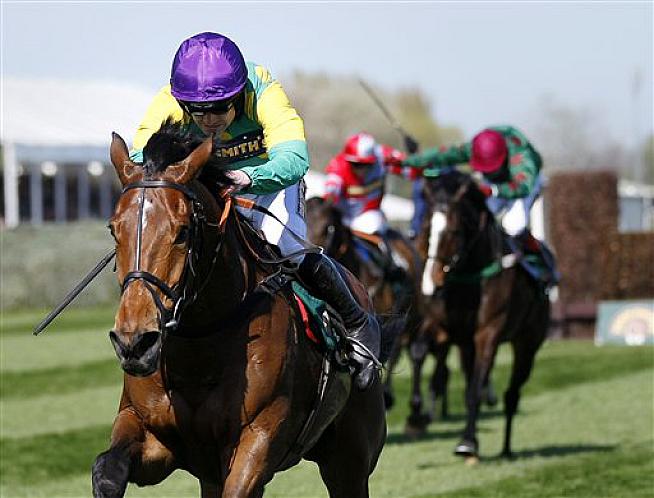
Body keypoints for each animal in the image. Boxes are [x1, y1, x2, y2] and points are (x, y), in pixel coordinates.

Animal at [92, 124, 389, 497]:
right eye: (113, 228)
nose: (134, 342)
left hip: (350, 460)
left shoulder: (257, 440)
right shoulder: (152, 435)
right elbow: (107, 471)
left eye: (182, 231)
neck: (198, 352)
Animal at [414, 168, 550, 459]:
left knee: (512, 393)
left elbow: (475, 389)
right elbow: (419, 351)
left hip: (527, 344)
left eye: (453, 231)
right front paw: (416, 416)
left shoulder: (488, 333)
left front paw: (467, 442)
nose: (430, 283)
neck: (469, 278)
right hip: (466, 346)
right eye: (426, 228)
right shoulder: (443, 327)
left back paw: (507, 448)